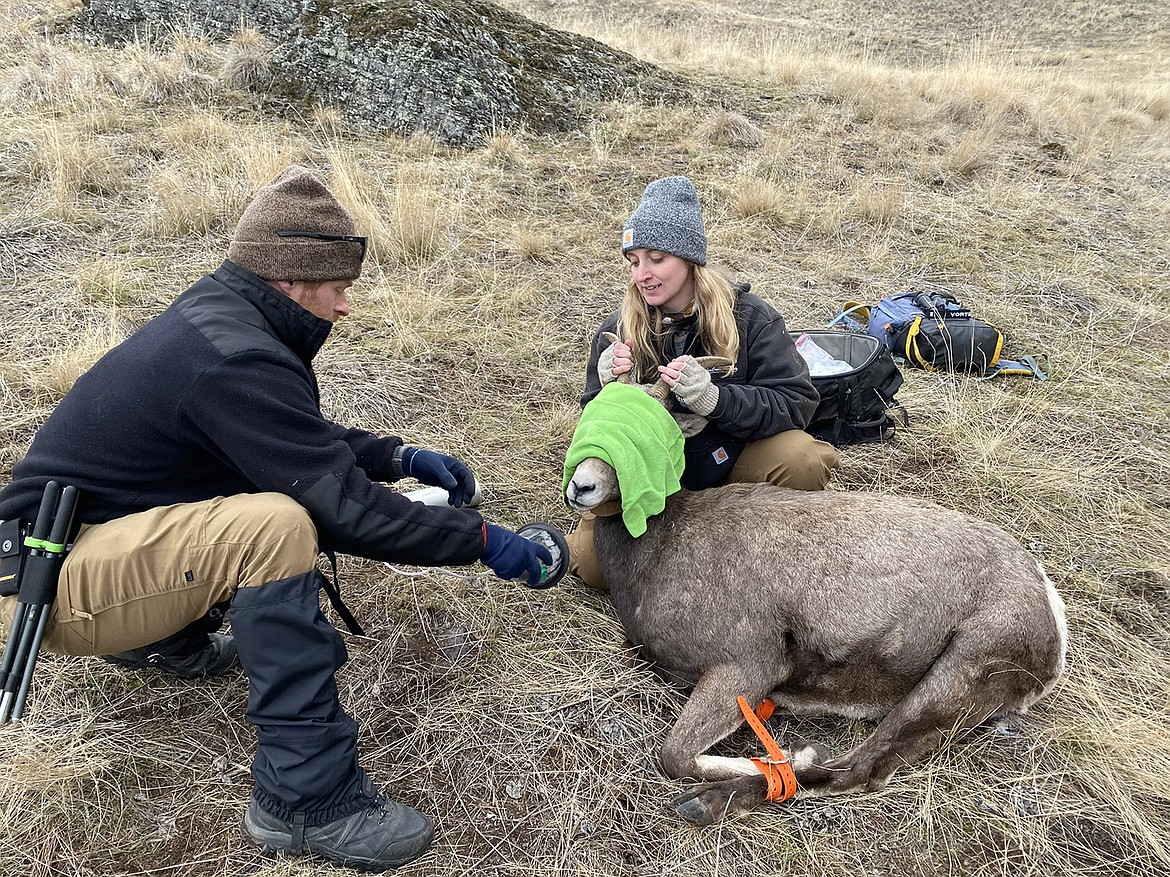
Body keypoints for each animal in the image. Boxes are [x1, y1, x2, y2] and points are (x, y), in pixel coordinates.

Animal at [566, 362, 1071, 823]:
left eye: (649, 431)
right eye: (590, 411)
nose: (582, 487)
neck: (658, 550)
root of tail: (1051, 615)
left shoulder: (750, 664)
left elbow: (674, 755)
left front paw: (794, 754)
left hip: (955, 677)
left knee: (857, 768)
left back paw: (712, 801)